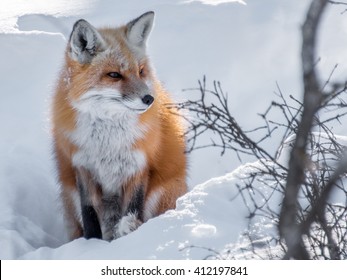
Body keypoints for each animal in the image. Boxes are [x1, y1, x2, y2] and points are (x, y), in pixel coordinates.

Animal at [51, 12, 188, 241]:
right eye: (114, 75)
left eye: (141, 71)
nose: (149, 99)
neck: (108, 140)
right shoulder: (82, 165)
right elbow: (89, 213)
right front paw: (91, 244)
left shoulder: (138, 165)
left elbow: (133, 207)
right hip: (69, 194)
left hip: (163, 192)